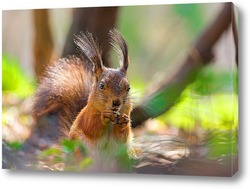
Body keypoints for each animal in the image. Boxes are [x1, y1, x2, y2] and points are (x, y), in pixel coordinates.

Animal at [33, 29, 135, 170]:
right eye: (101, 85)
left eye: (128, 88)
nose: (116, 102)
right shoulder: (87, 114)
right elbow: (91, 127)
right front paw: (104, 116)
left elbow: (123, 136)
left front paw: (123, 121)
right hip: (81, 154)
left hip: (121, 158)